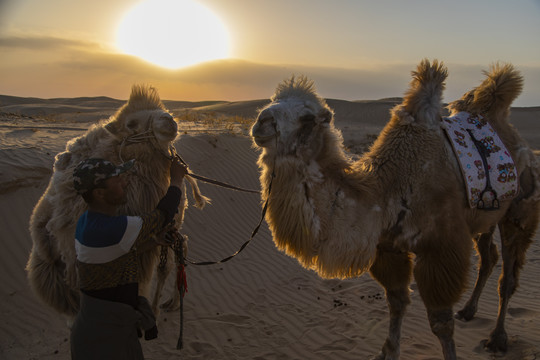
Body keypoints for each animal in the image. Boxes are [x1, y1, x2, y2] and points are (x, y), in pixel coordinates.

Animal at [250, 60, 540, 358]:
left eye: (307, 118)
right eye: (273, 100)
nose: (262, 121)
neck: (385, 195)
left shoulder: (441, 248)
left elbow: (440, 323)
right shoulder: (388, 248)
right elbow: (397, 302)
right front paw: (388, 351)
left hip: (521, 209)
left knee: (508, 275)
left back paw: (498, 338)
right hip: (484, 217)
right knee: (489, 256)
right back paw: (469, 311)